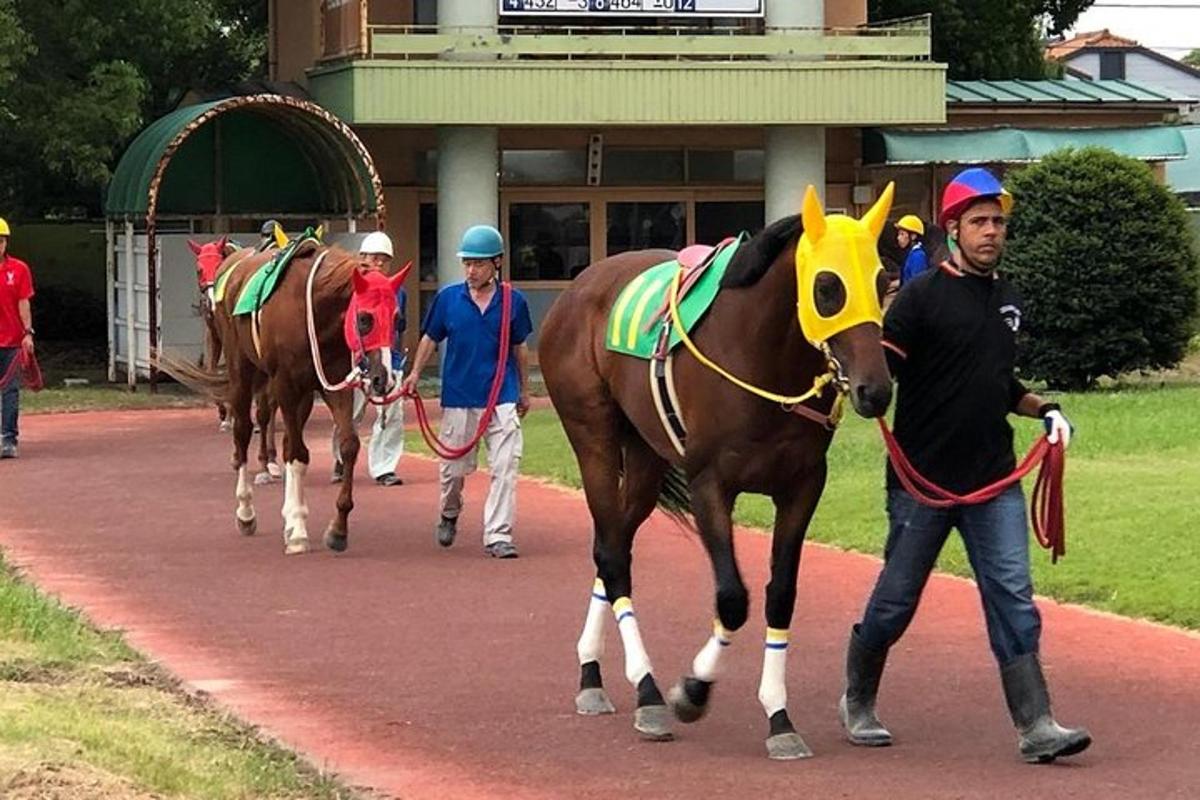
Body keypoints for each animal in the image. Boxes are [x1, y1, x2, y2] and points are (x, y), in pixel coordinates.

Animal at [187, 235, 280, 482]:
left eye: (217, 264)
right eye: (199, 269)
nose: (210, 301)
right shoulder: (214, 334)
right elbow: (212, 369)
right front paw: (224, 414)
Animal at [540, 184, 897, 762]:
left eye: (883, 282)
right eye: (827, 287)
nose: (876, 390)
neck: (761, 358)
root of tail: (578, 287)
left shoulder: (802, 485)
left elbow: (780, 594)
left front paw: (779, 718)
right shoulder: (710, 483)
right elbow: (732, 599)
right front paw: (691, 691)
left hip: (645, 453)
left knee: (613, 543)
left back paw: (591, 674)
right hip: (591, 433)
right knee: (612, 555)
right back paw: (647, 693)